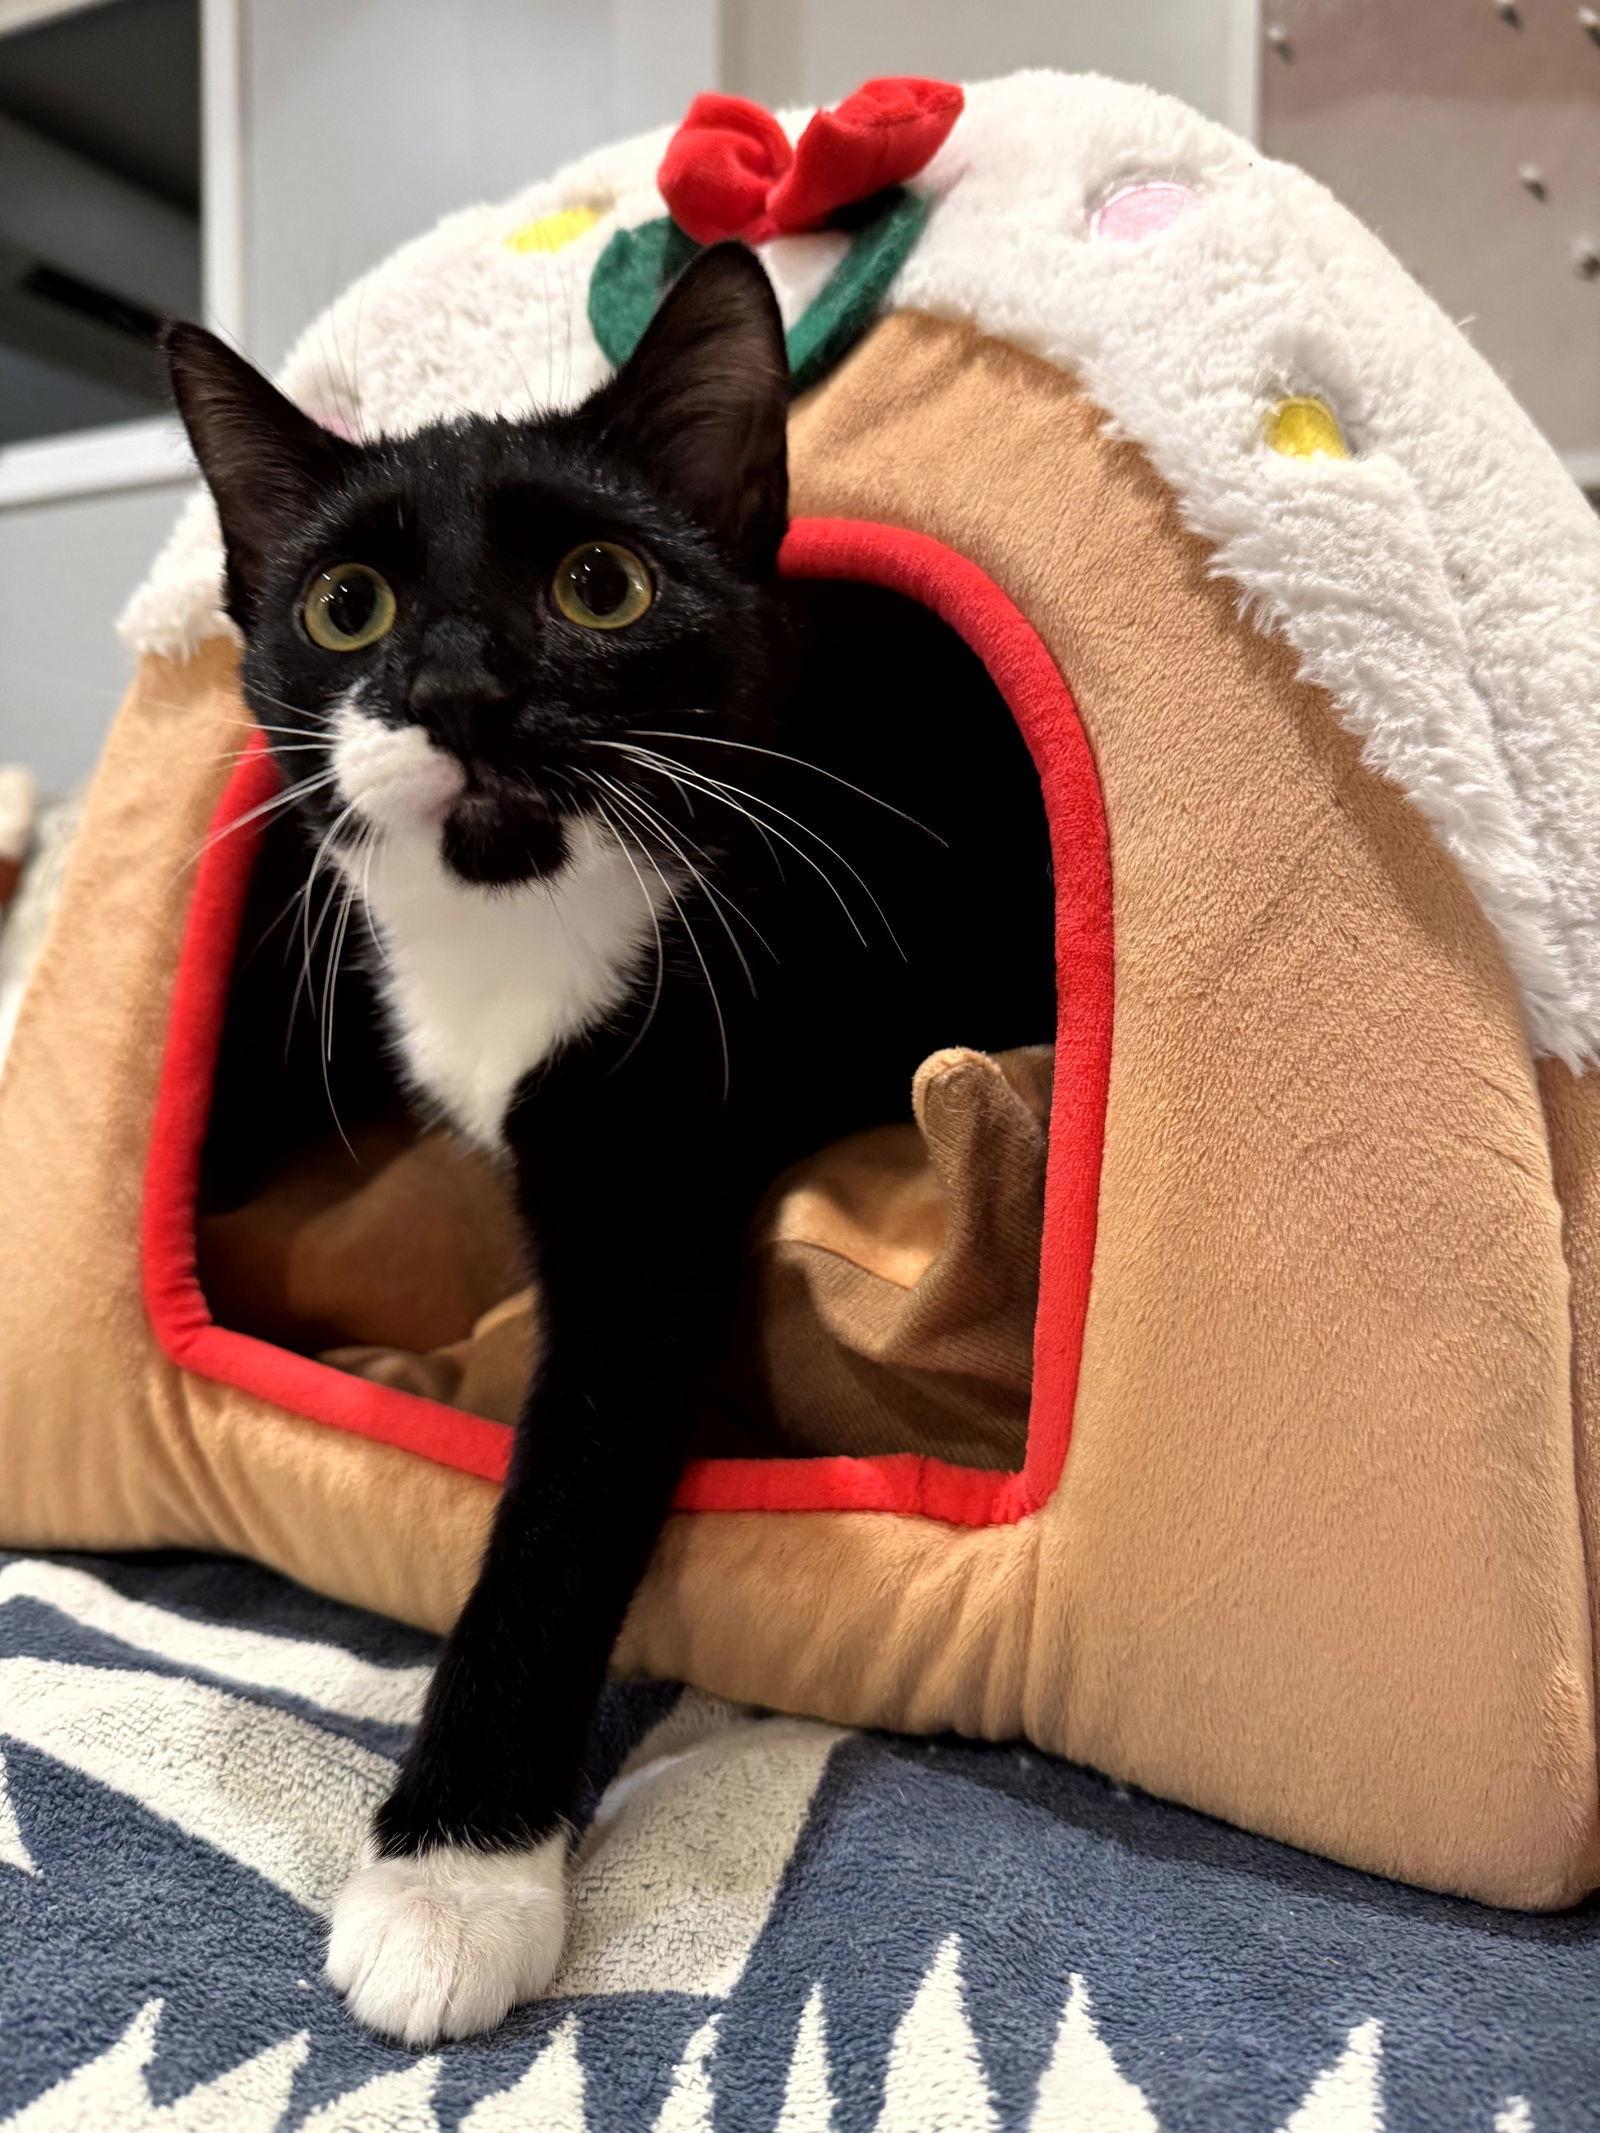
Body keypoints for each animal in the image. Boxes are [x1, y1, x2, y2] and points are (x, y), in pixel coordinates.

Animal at [169, 245, 1058, 2047]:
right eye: (345, 608)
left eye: (600, 584)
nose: (456, 690)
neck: (518, 926)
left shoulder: (666, 1149)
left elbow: (560, 1510)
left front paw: (451, 1884)